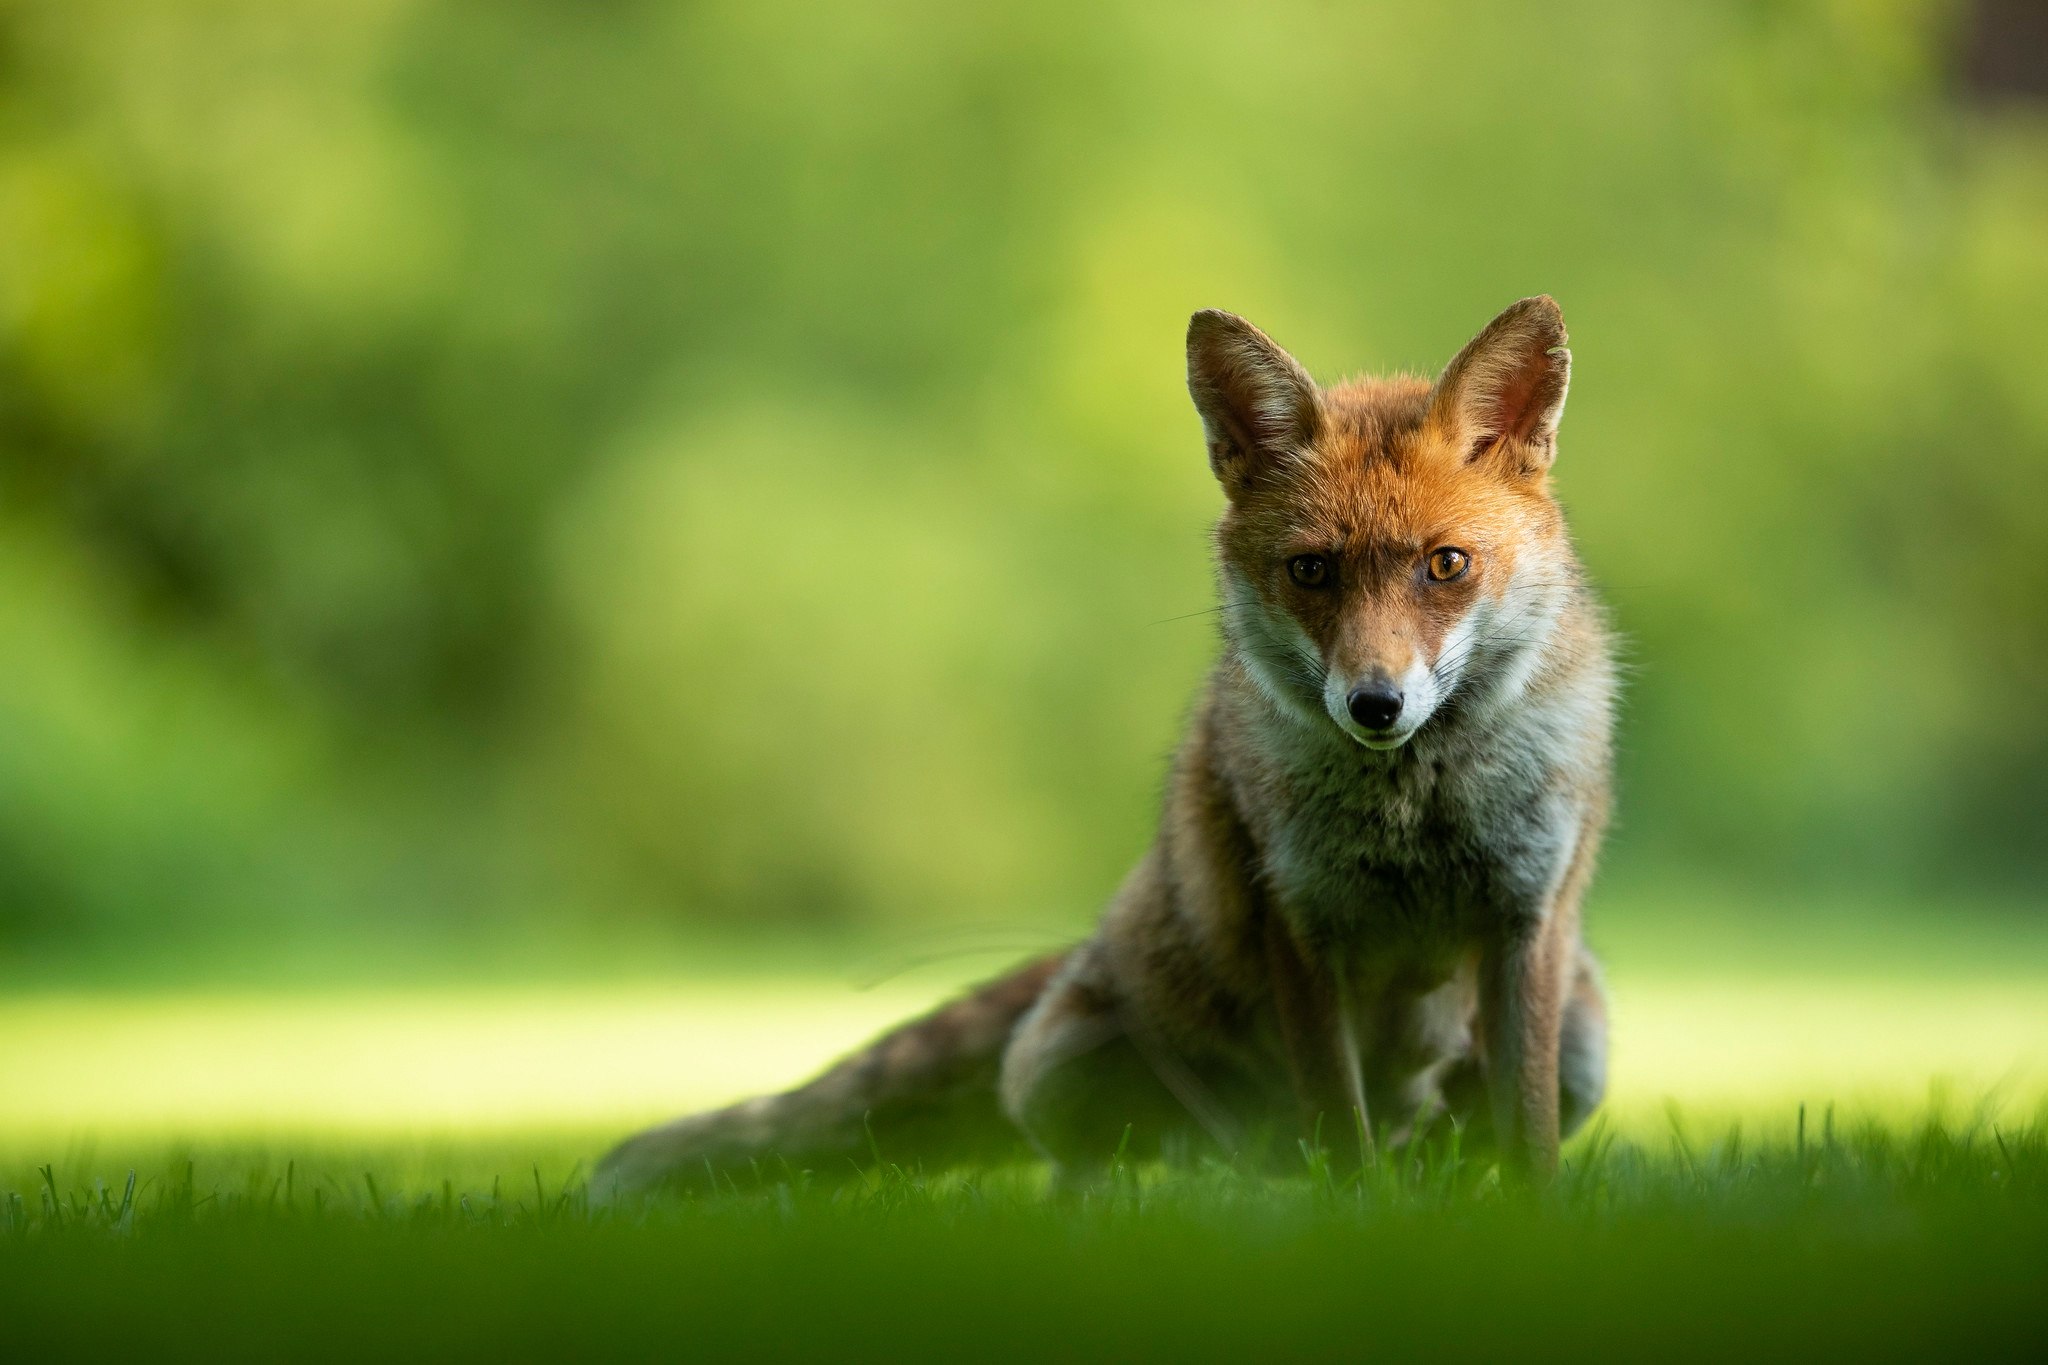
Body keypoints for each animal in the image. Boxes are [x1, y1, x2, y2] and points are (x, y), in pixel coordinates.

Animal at [598, 294, 1605, 1186]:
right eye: (1311, 570)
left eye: (1447, 565)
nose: (1375, 705)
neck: (1418, 815)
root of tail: (1085, 943)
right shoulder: (1298, 921)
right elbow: (1343, 1142)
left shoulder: (1526, 920)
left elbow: (1528, 1144)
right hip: (1065, 1068)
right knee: (1120, 1174)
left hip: (1584, 1042)